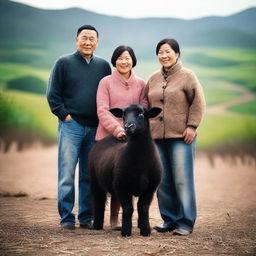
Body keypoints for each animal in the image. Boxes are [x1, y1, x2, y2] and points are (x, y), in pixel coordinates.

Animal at [89, 104, 162, 236]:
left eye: (141, 114)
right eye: (124, 115)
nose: (128, 127)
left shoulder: (150, 187)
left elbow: (143, 208)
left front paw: (145, 231)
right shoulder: (122, 186)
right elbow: (128, 209)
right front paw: (126, 232)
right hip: (95, 181)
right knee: (99, 202)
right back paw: (97, 225)